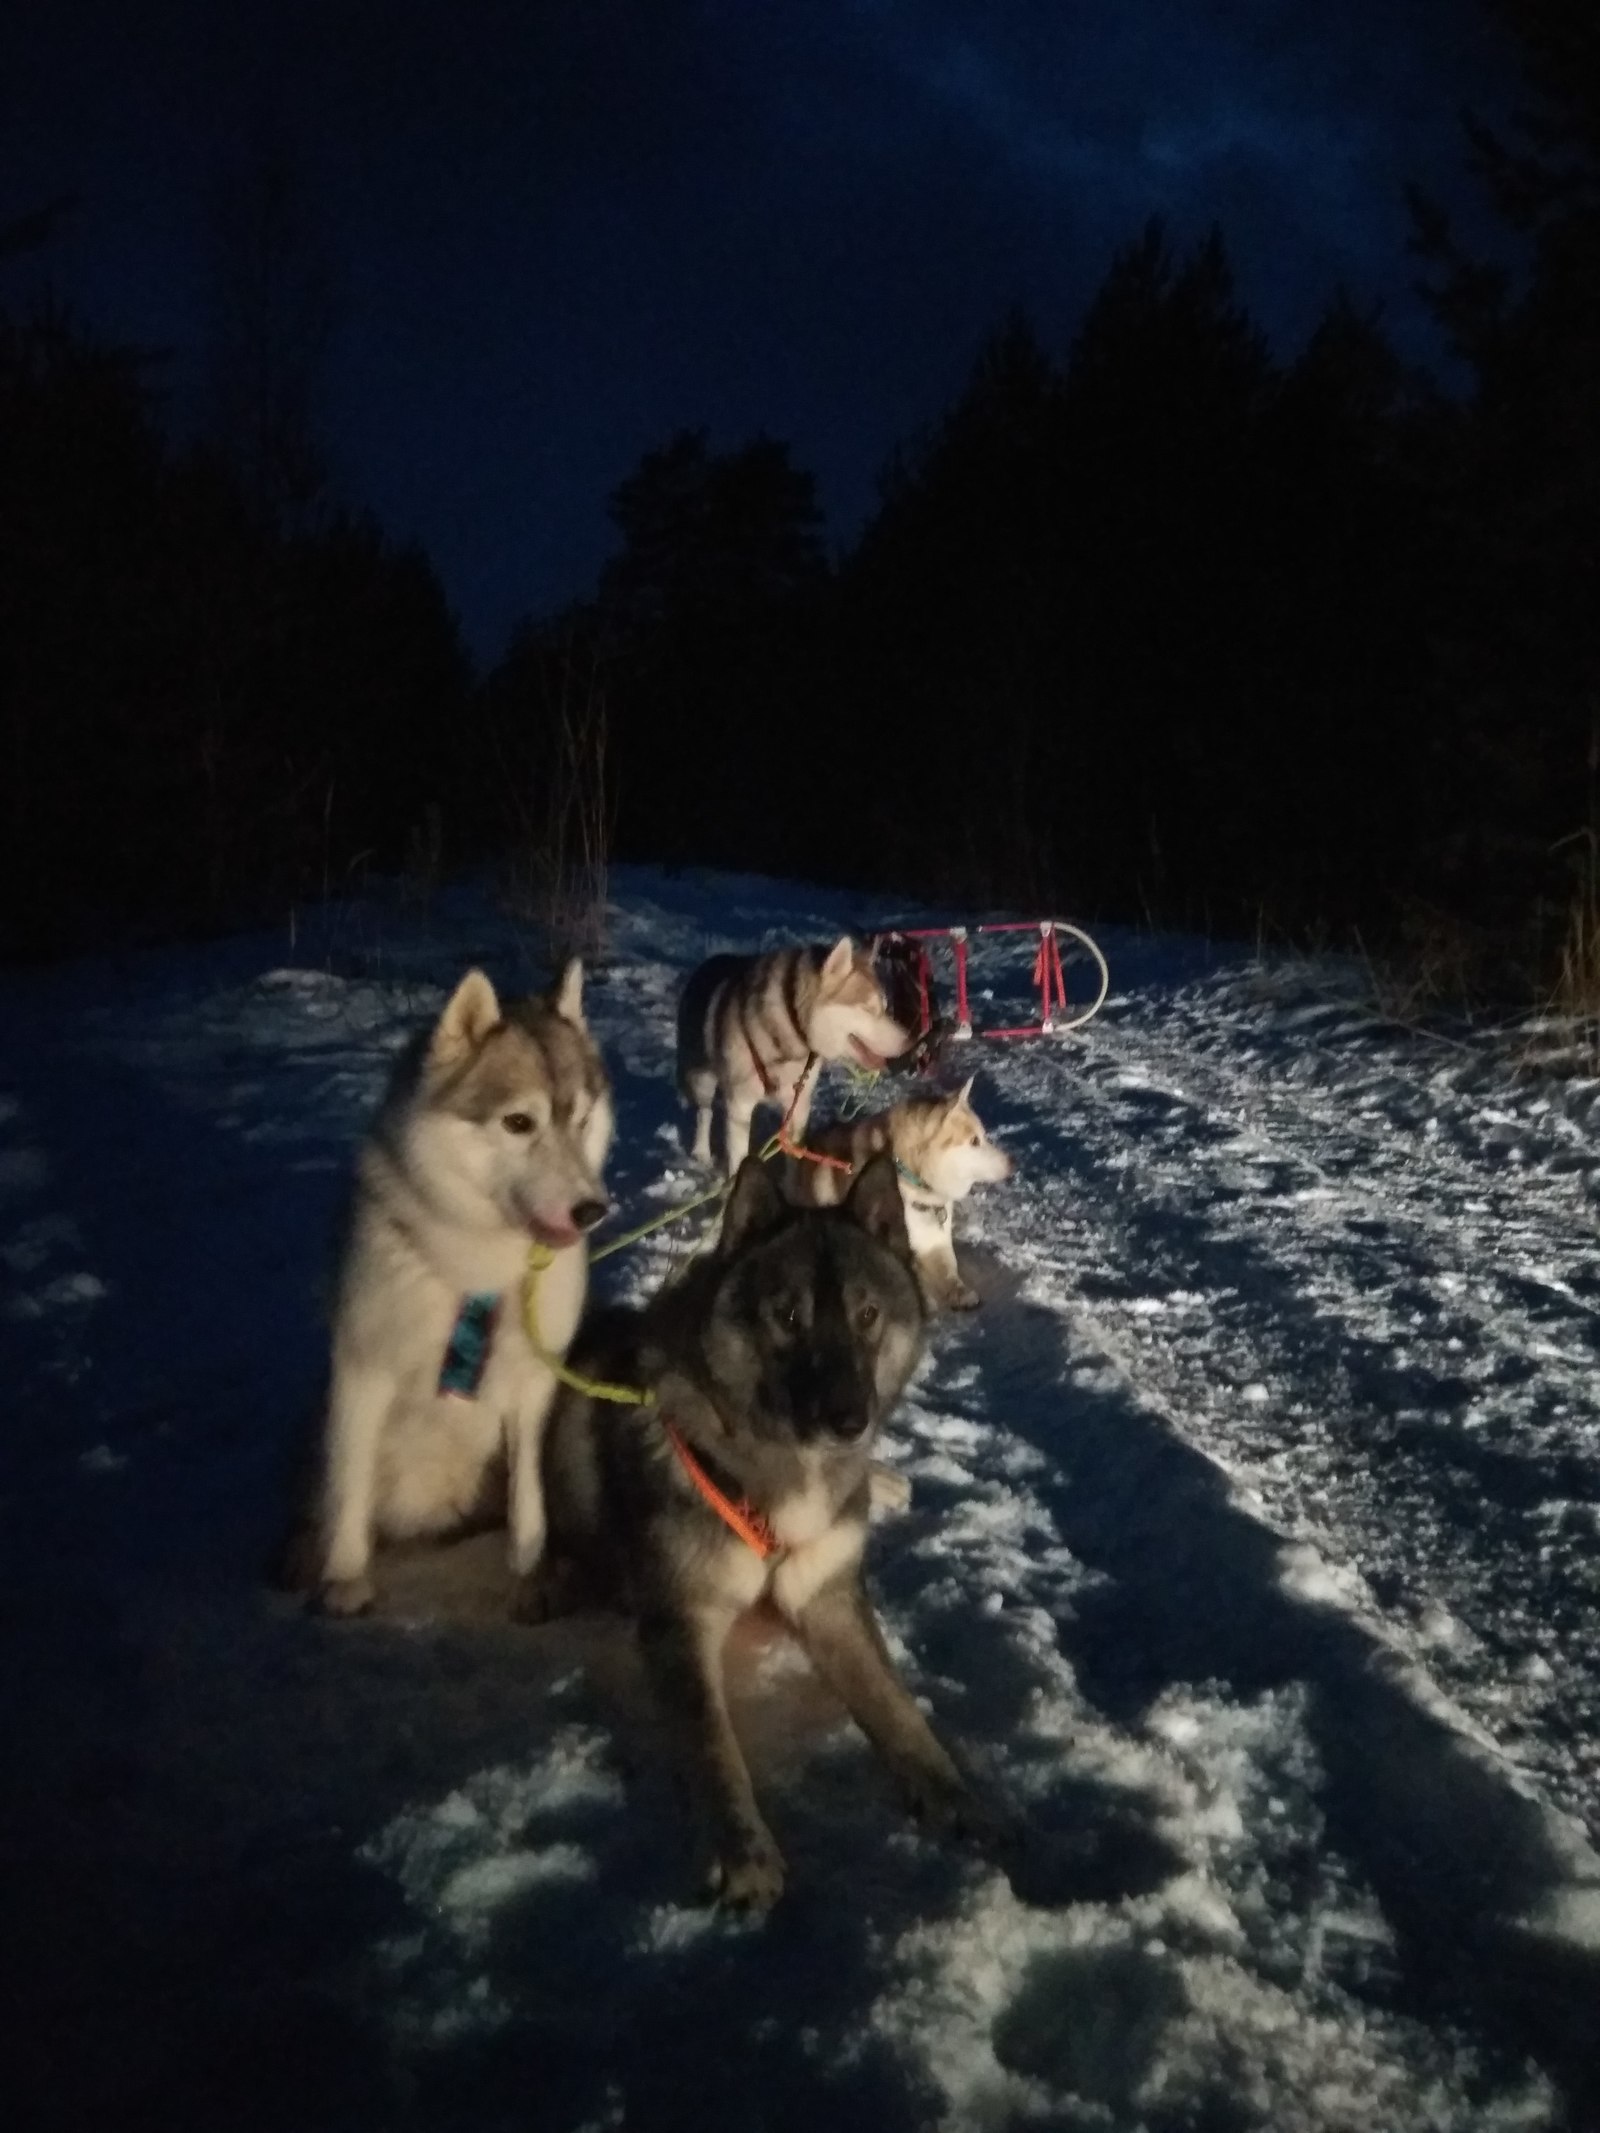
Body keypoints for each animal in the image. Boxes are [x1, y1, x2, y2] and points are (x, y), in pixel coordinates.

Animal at [279, 968, 614, 1612]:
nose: (592, 1211)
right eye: (519, 1122)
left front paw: (529, 1570)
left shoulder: (534, 1382)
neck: (476, 1269)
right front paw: (344, 1578)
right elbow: (349, 1489)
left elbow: (528, 1498)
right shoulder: (363, 1371)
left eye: (582, 1120)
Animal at [535, 1160, 989, 1911]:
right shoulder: (681, 1620)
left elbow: (895, 1703)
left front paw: (950, 1788)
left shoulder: (828, 1599)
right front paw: (743, 1849)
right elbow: (711, 1741)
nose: (849, 1421)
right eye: (788, 1316)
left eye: (868, 1314)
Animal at [674, 934, 908, 1168]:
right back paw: (701, 1151)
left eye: (885, 1007)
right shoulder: (740, 1106)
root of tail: (708, 962)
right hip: (702, 1079)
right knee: (704, 1113)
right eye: (868, 1009)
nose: (908, 1041)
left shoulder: (798, 1107)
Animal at [785, 1083, 1015, 1313]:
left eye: (983, 1136)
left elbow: (949, 1268)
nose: (1012, 1163)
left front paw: (959, 1293)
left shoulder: (934, 1243)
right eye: (975, 1141)